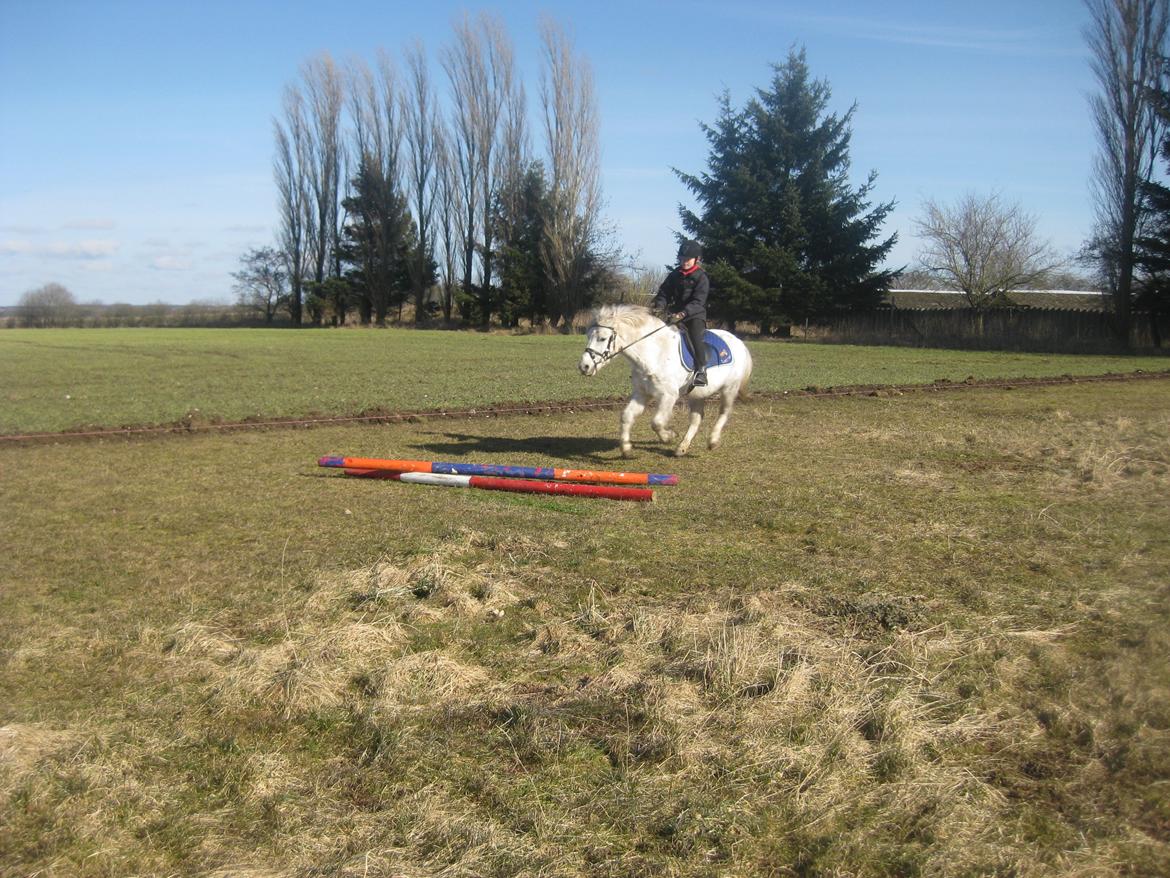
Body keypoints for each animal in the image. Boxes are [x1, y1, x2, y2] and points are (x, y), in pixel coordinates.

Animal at [580, 304, 753, 461]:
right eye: (588, 336)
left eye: (602, 338)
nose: (584, 367)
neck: (655, 354)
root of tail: (738, 342)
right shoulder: (642, 393)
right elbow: (626, 416)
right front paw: (627, 450)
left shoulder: (668, 395)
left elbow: (656, 422)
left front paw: (669, 436)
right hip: (697, 394)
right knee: (697, 418)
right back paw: (681, 448)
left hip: (729, 389)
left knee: (724, 412)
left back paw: (713, 441)